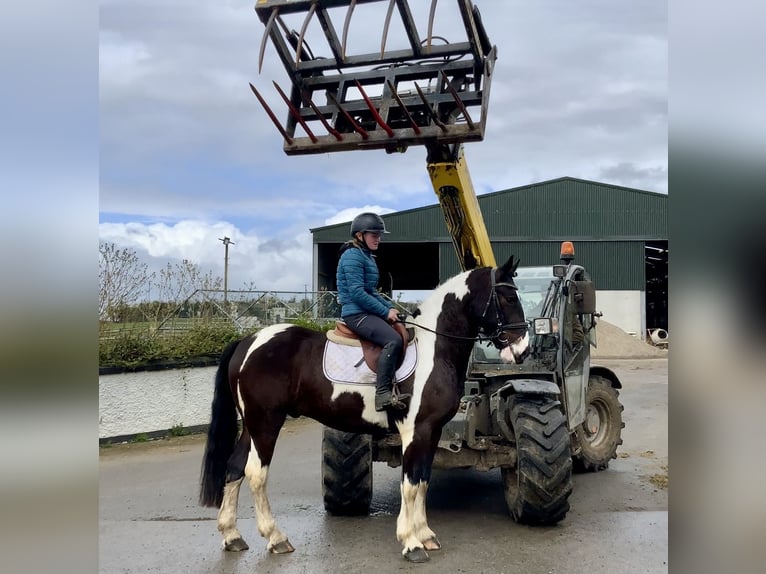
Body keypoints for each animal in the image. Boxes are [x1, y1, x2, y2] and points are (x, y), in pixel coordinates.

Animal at [199, 255, 529, 563]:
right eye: (509, 298)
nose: (523, 350)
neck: (434, 350)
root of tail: (248, 341)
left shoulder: (432, 431)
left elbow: (422, 480)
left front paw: (425, 535)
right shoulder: (415, 431)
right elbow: (410, 485)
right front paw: (411, 543)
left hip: (251, 424)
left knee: (234, 468)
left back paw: (232, 536)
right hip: (266, 422)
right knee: (256, 472)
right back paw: (276, 538)